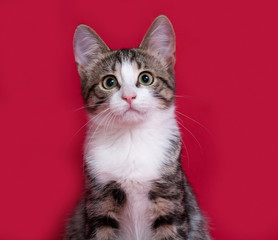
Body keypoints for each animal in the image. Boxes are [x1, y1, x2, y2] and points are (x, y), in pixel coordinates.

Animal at [65, 15, 212, 240]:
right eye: (109, 82)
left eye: (146, 78)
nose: (129, 96)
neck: (131, 138)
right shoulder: (99, 199)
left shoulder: (169, 195)